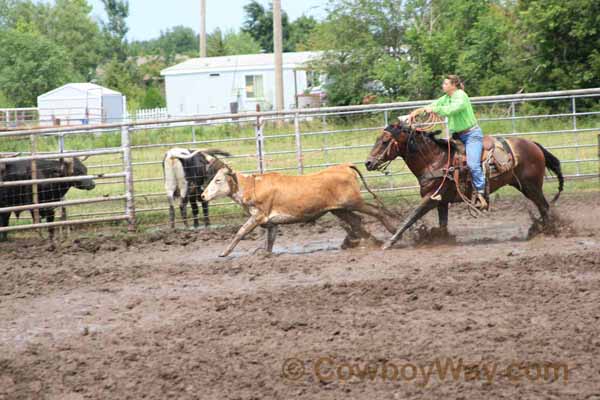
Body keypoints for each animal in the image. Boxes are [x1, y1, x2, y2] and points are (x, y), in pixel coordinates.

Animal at [202, 162, 398, 256]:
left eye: (218, 180)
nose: (202, 196)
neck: (253, 186)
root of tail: (344, 166)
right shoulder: (271, 222)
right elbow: (270, 240)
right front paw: (265, 254)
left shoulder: (258, 216)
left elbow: (241, 232)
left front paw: (224, 253)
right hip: (339, 209)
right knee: (356, 221)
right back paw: (360, 241)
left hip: (354, 202)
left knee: (377, 211)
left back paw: (392, 232)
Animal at [364, 120, 564, 248]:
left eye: (384, 141)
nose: (368, 163)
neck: (435, 160)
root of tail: (533, 144)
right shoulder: (441, 201)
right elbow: (442, 223)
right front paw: (441, 239)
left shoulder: (431, 198)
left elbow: (410, 217)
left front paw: (390, 242)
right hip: (522, 185)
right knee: (543, 207)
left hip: (531, 186)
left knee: (544, 207)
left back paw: (547, 231)